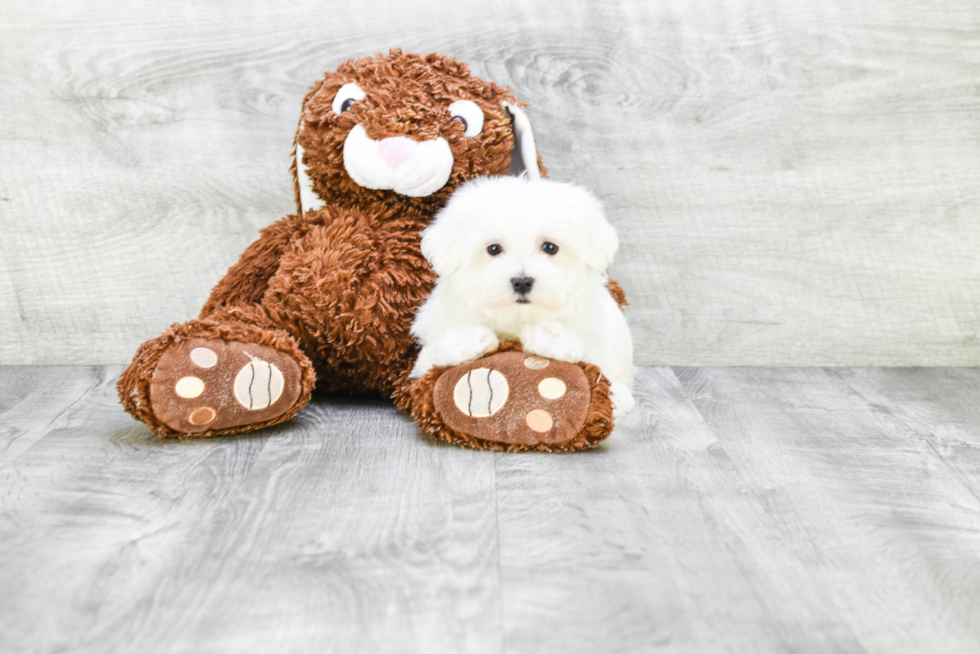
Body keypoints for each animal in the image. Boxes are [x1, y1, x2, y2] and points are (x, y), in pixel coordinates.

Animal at [408, 177, 632, 418]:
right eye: (493, 249)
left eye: (550, 247)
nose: (522, 281)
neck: (515, 318)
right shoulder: (425, 356)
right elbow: (433, 356)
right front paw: (469, 339)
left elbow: (585, 353)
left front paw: (546, 336)